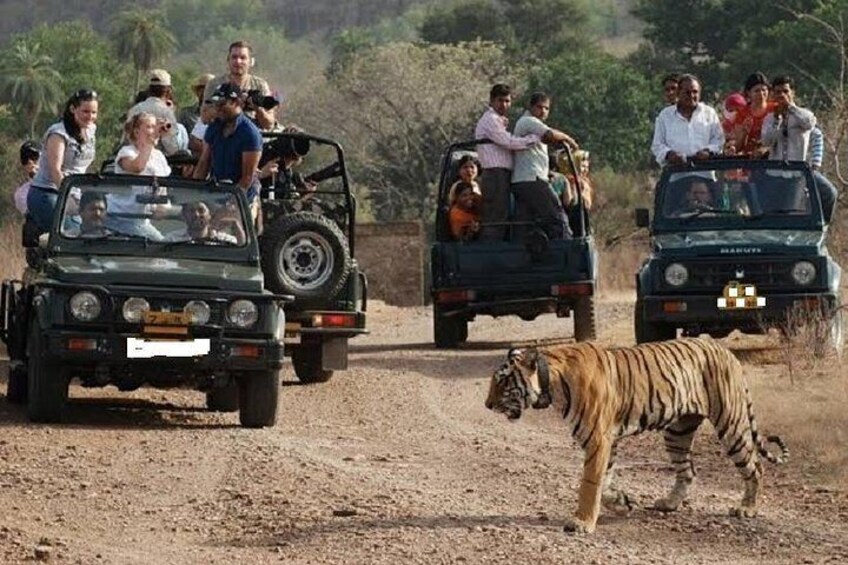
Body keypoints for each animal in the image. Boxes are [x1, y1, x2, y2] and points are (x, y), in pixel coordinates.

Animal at [484, 338, 788, 536]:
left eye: (502, 381)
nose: (487, 405)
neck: (552, 382)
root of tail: (725, 350)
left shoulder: (598, 439)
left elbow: (590, 484)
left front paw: (582, 522)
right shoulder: (607, 441)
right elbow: (604, 483)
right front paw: (622, 503)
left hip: (730, 423)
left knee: (755, 466)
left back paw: (747, 508)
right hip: (677, 431)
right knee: (688, 471)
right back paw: (669, 503)